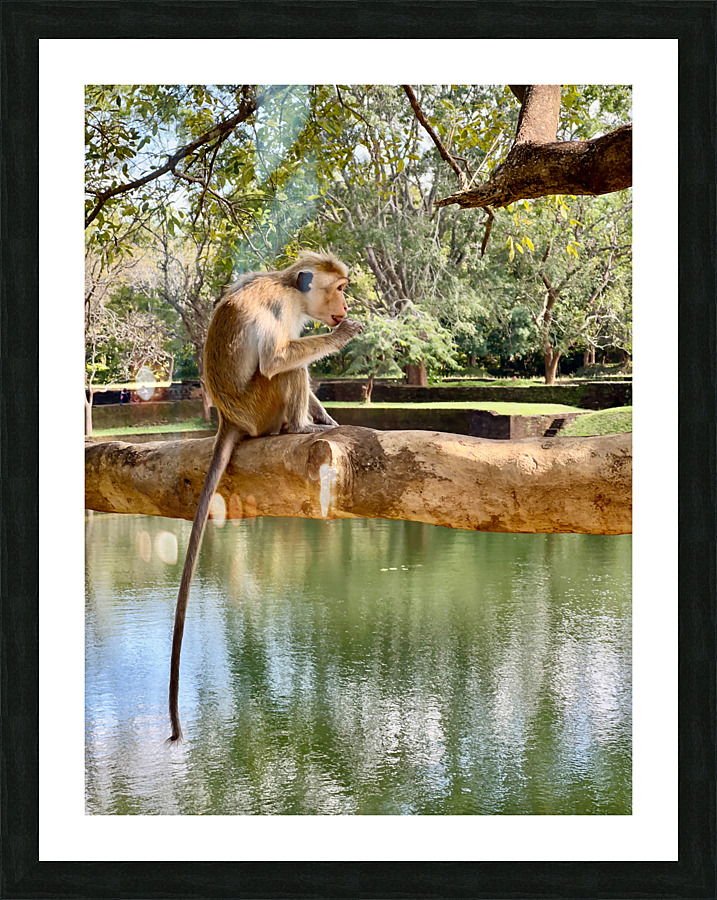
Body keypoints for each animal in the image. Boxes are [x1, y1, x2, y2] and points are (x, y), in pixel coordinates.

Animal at [168, 251, 362, 743]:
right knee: (287, 368)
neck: (289, 288)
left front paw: (329, 419)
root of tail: (231, 420)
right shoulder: (282, 310)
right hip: (262, 408)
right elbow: (277, 360)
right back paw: (298, 427)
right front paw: (338, 337)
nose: (344, 306)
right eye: (340, 288)